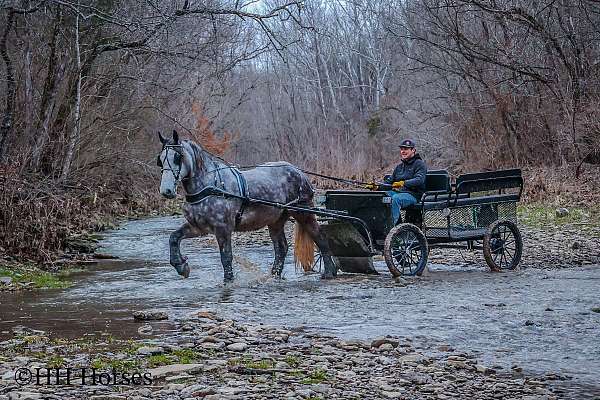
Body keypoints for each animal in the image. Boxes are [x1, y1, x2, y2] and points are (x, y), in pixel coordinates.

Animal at [157, 131, 338, 282]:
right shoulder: (198, 227)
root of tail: (298, 172)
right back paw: (273, 276)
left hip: (303, 213)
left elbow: (226, 258)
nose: (166, 191)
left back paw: (329, 272)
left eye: (177, 157)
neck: (209, 186)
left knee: (320, 238)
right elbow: (174, 237)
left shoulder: (223, 229)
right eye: (161, 159)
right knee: (281, 248)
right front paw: (181, 265)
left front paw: (228, 281)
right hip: (276, 220)